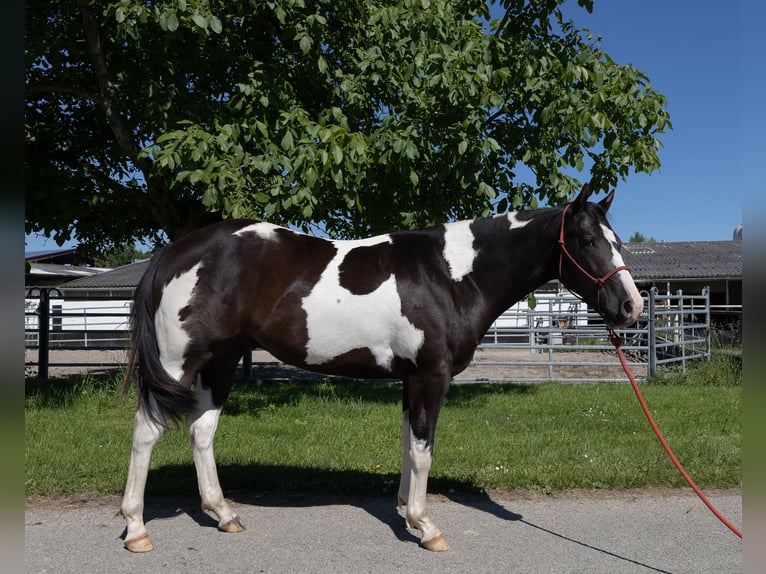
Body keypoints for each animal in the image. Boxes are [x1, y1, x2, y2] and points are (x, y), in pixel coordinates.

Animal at [119, 184, 643, 553]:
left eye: (617, 241)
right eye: (587, 240)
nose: (630, 307)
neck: (449, 275)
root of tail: (173, 252)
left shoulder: (410, 378)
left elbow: (409, 446)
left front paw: (406, 513)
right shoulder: (431, 376)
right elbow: (425, 449)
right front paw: (427, 527)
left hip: (222, 360)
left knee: (201, 431)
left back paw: (223, 513)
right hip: (178, 362)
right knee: (146, 430)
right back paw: (137, 528)